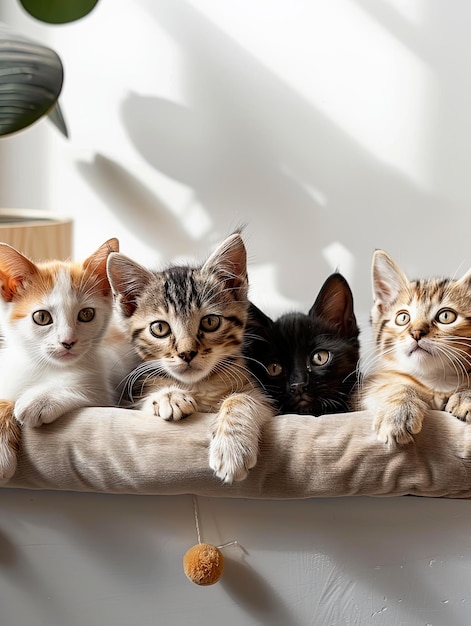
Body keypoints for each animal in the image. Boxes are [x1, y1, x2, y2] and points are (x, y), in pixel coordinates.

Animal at [0, 238, 123, 478]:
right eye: (41, 317)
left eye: (86, 314)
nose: (68, 341)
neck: (41, 366)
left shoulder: (103, 389)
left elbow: (90, 389)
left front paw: (39, 399)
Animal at [106, 232, 276, 480]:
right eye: (159, 328)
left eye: (210, 321)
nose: (187, 353)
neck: (198, 385)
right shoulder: (129, 401)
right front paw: (169, 397)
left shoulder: (264, 398)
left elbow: (243, 398)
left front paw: (232, 448)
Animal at [360, 249, 471, 444]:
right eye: (403, 317)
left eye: (446, 316)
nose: (417, 333)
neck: (437, 381)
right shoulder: (368, 387)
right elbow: (393, 385)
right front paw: (397, 412)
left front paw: (465, 396)